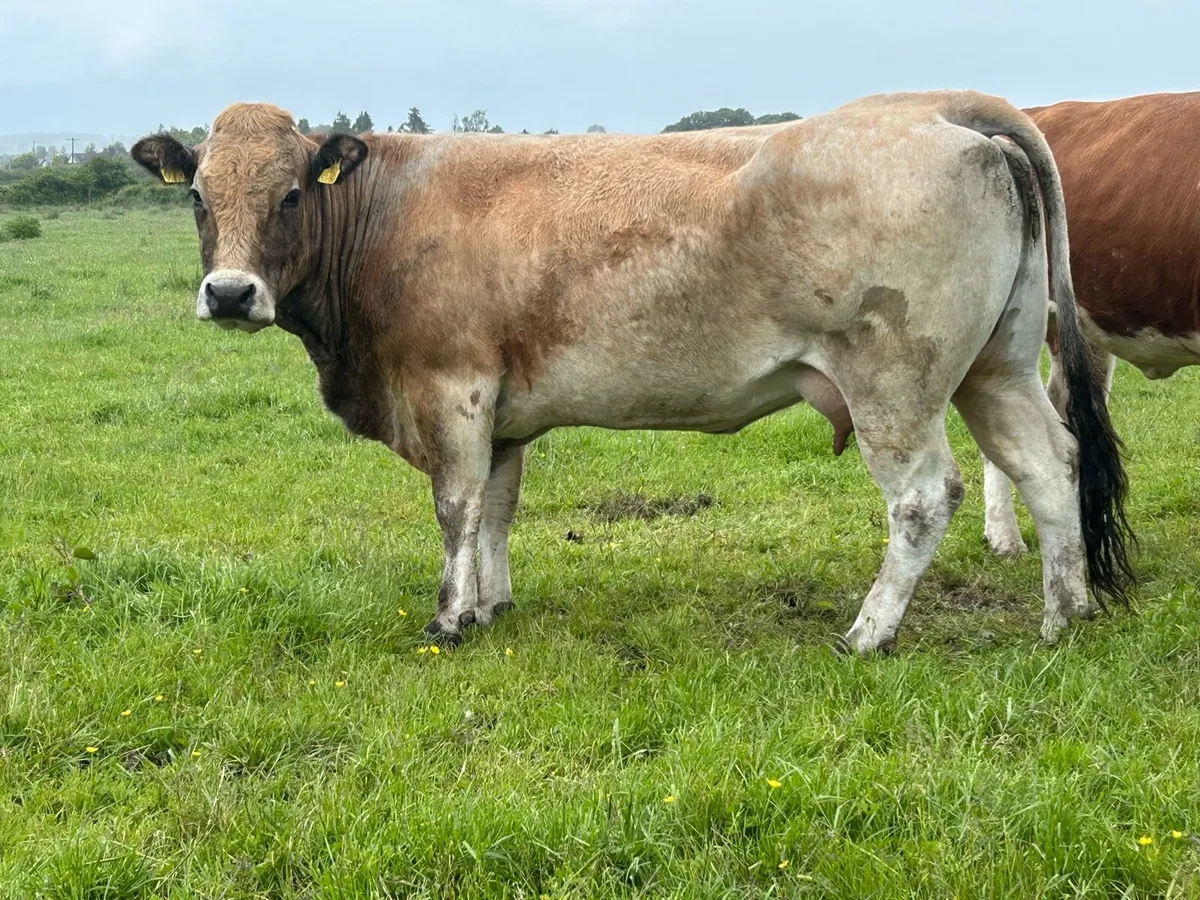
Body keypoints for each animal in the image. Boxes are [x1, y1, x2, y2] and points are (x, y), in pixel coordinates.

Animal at [131, 91, 1134, 656]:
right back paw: (1065, 616)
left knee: (926, 497)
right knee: (1049, 465)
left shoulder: (450, 391)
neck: (384, 215)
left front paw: (450, 620)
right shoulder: (503, 411)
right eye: (198, 197)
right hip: (996, 367)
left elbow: (455, 510)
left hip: (895, 382)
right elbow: (498, 510)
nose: (230, 293)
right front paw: (492, 605)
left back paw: (868, 632)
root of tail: (938, 110)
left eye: (290, 193)